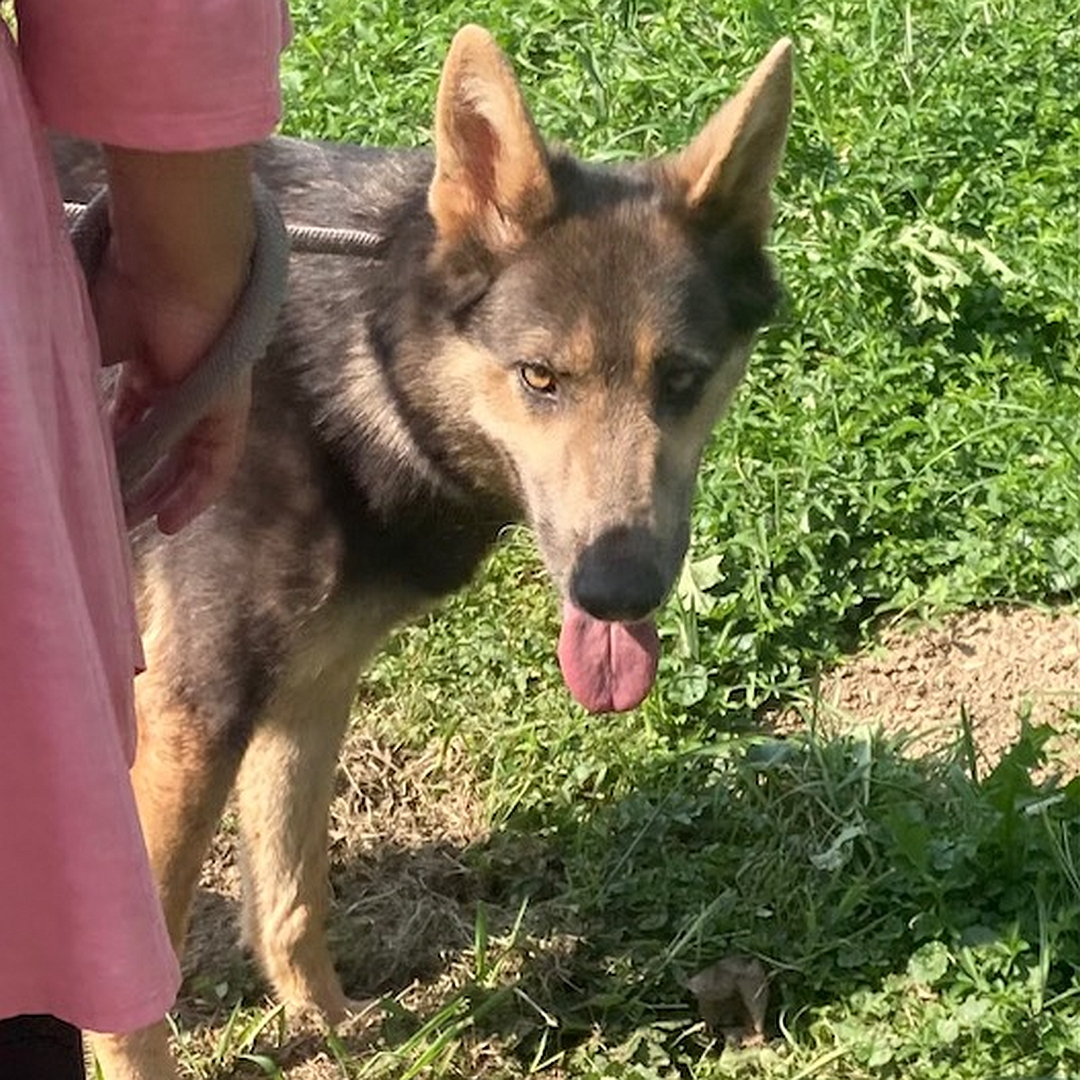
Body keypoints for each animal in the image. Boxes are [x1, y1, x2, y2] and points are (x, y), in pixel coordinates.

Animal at [52, 25, 794, 1080]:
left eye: (683, 380)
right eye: (540, 378)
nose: (619, 591)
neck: (360, 360)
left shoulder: (309, 690)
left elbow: (291, 896)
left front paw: (332, 1035)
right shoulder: (192, 711)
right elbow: (137, 986)